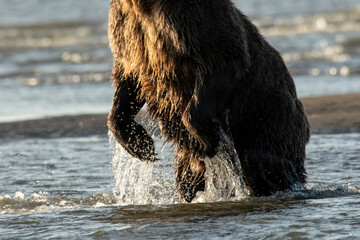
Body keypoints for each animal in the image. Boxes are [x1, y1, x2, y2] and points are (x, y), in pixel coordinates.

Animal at [106, 0, 310, 202]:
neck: (143, 6)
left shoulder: (191, 23)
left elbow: (222, 58)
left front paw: (205, 140)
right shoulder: (128, 30)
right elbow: (127, 77)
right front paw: (141, 144)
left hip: (266, 118)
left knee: (262, 164)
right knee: (187, 177)